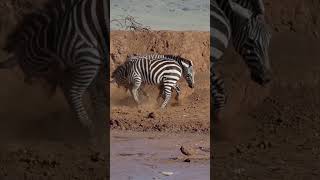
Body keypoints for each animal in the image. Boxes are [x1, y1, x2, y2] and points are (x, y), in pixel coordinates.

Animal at [0, 0, 109, 141]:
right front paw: (102, 122)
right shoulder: (89, 64)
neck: (53, 37)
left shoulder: (88, 59)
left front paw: (91, 131)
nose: (27, 81)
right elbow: (95, 94)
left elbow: (74, 93)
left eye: (30, 71)